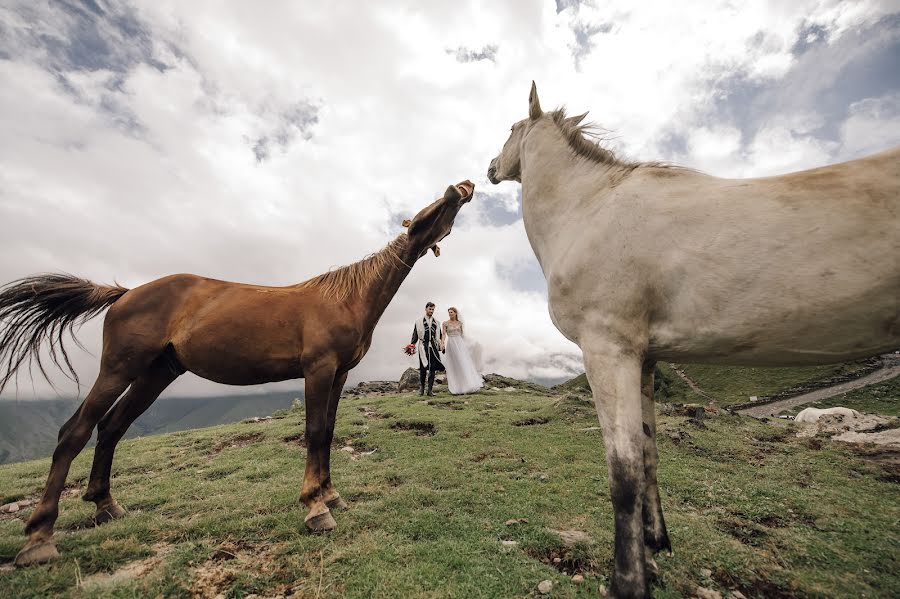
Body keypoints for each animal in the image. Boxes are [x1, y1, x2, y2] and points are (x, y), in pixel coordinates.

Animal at [1, 179, 478, 568]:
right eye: (429, 208)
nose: (463, 187)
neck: (345, 298)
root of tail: (125, 292)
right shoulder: (318, 370)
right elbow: (314, 432)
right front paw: (314, 508)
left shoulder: (339, 375)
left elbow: (328, 431)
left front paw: (330, 495)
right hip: (120, 368)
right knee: (75, 431)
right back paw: (40, 537)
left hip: (156, 374)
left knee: (112, 428)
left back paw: (106, 507)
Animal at [492, 83, 900, 599]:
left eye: (511, 129)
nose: (490, 167)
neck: (588, 210)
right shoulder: (645, 360)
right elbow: (648, 456)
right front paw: (655, 547)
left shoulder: (608, 350)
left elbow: (623, 470)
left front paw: (628, 581)